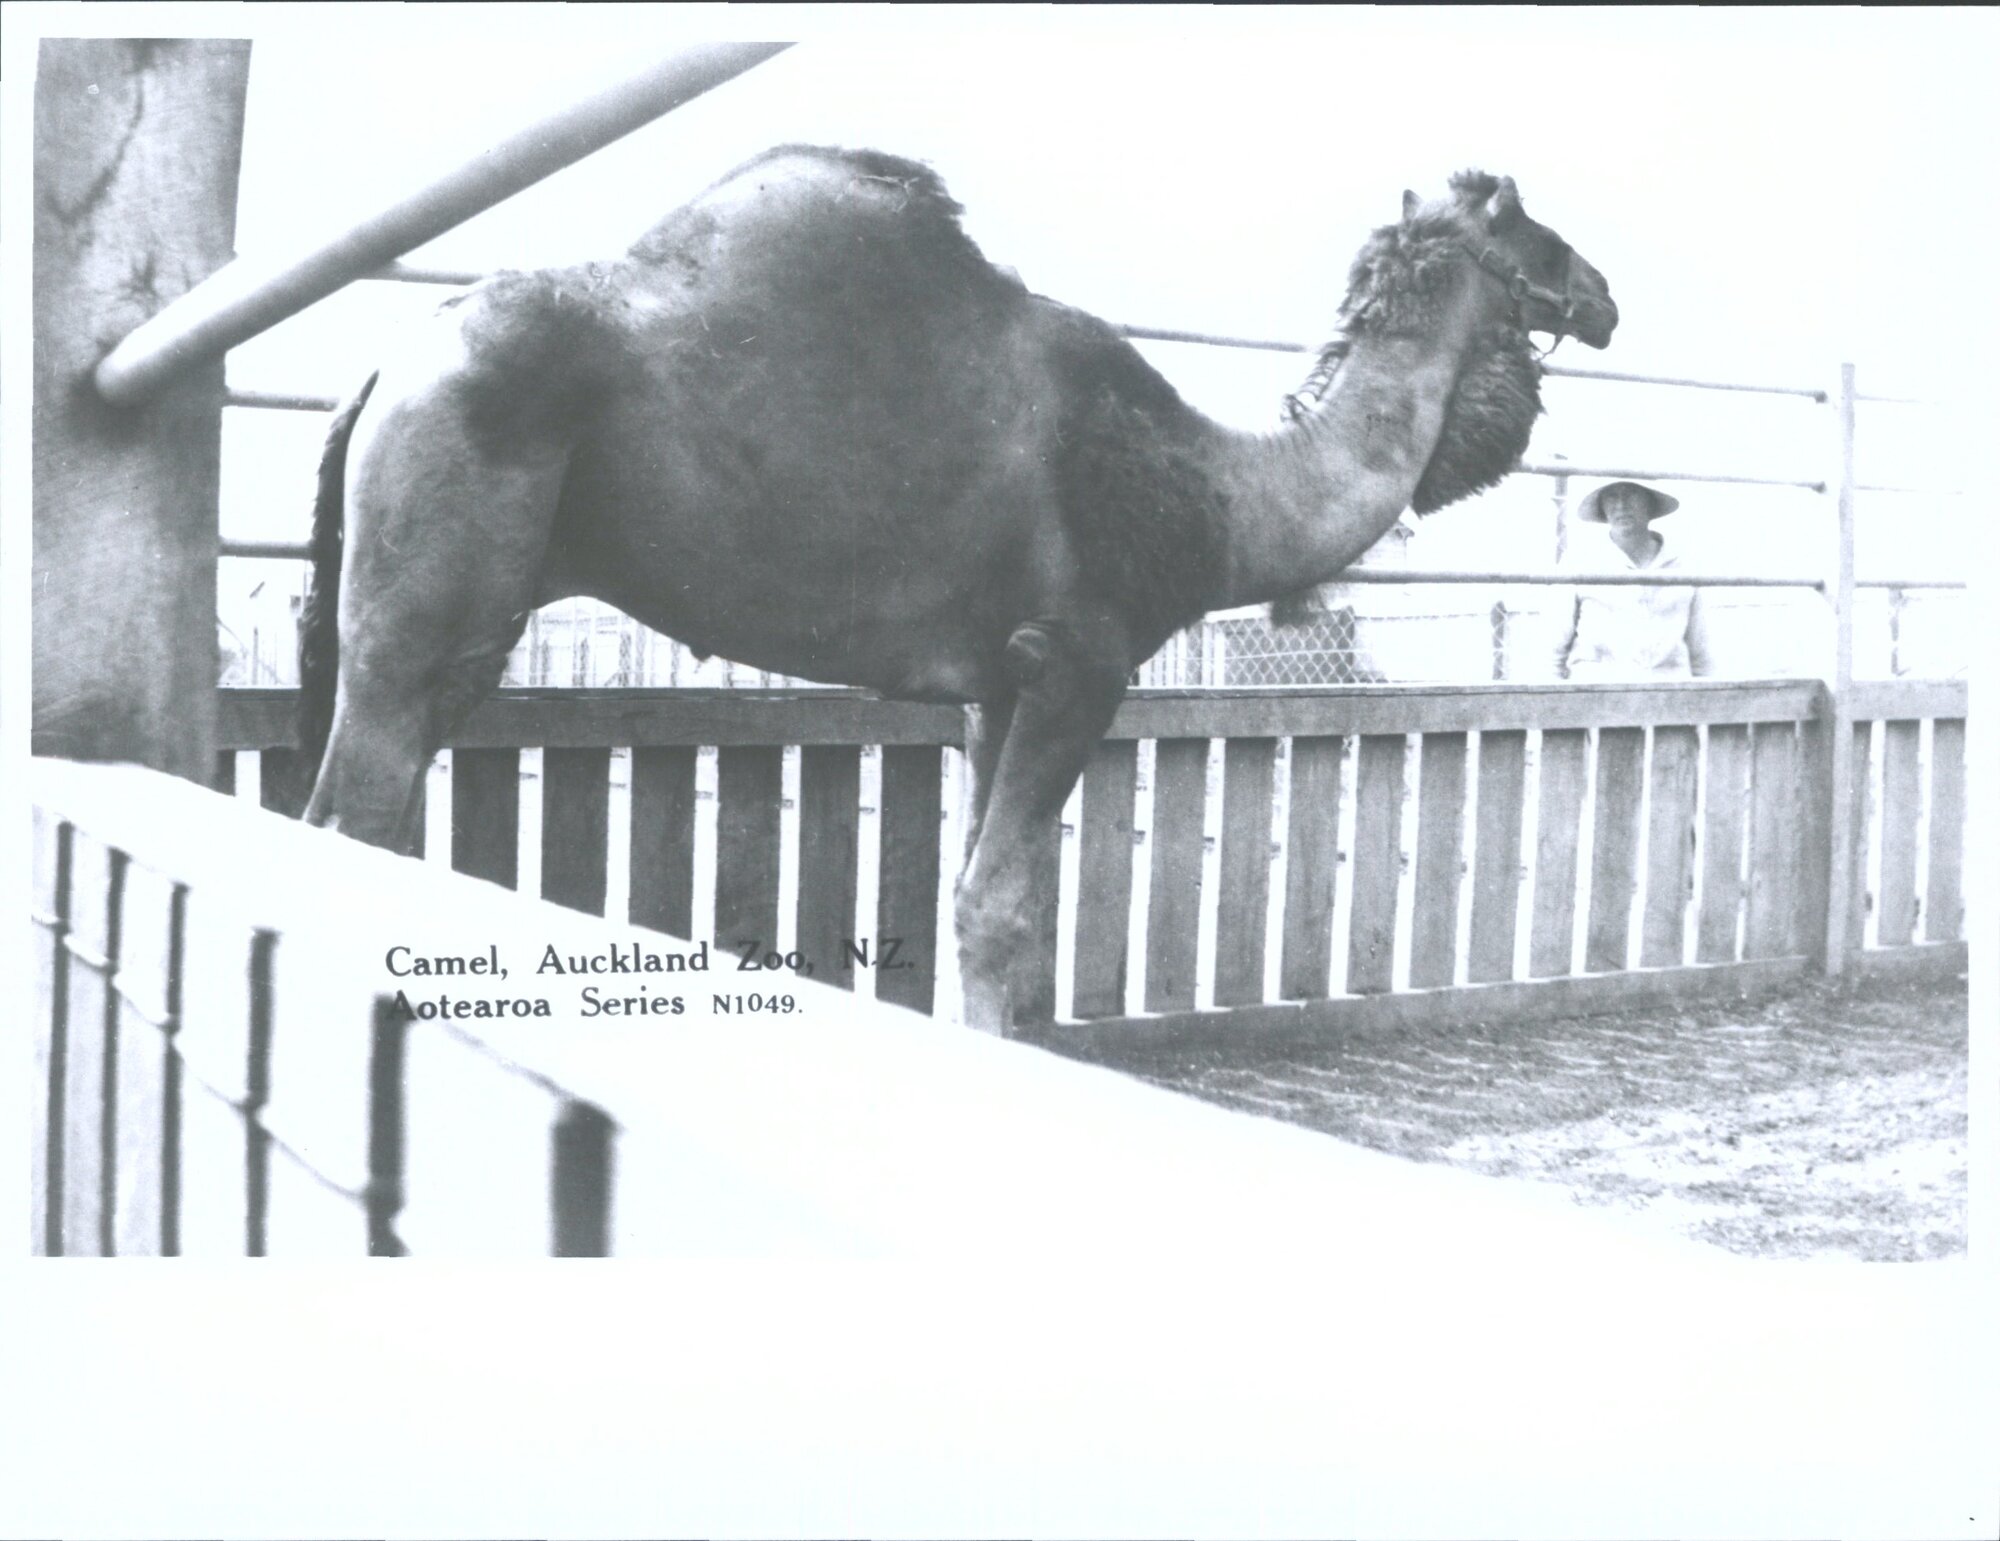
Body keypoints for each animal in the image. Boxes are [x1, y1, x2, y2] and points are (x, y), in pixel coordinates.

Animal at [299, 145, 1617, 1033]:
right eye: (1530, 226)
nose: (1604, 294)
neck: (1214, 487)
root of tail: (385, 369)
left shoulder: (998, 682)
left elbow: (973, 896)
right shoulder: (1081, 659)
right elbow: (1001, 908)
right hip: (434, 582)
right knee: (359, 798)